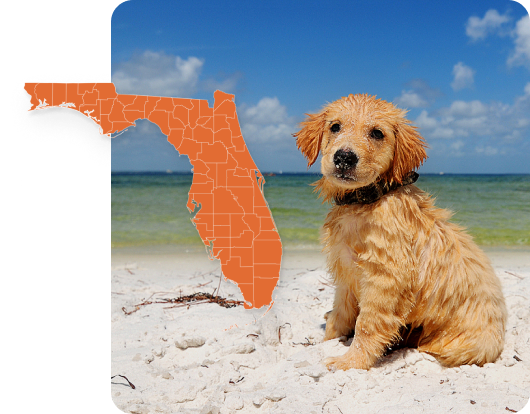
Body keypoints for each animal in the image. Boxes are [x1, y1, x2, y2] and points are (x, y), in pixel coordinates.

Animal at [292, 94, 504, 372]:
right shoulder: (345, 271)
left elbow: (367, 324)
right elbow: (340, 312)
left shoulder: (387, 278)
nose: (344, 157)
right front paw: (327, 339)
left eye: (377, 133)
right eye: (335, 127)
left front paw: (350, 362)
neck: (365, 201)